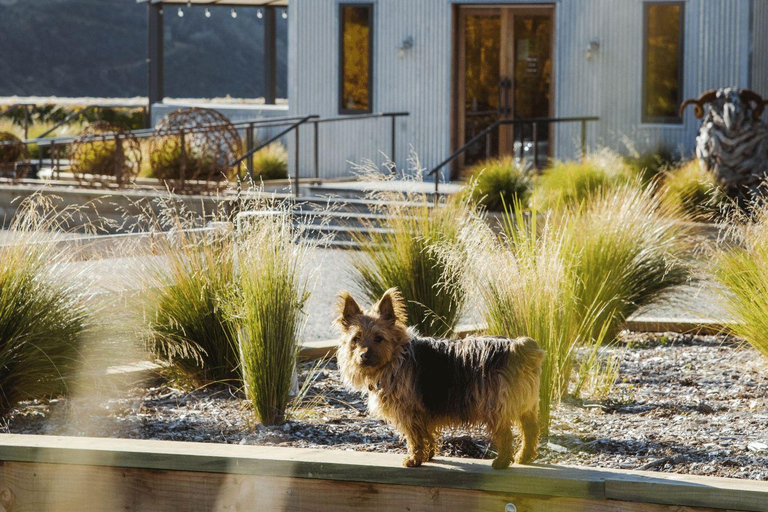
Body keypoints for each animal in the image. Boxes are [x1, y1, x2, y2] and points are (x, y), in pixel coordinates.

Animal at [336, 288, 544, 468]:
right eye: (355, 339)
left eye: (379, 338)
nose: (363, 355)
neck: (397, 357)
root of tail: (517, 348)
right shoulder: (423, 412)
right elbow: (427, 434)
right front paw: (428, 455)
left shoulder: (409, 411)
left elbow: (415, 437)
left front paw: (414, 459)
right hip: (527, 405)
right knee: (530, 430)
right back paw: (524, 457)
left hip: (494, 405)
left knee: (506, 433)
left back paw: (502, 462)